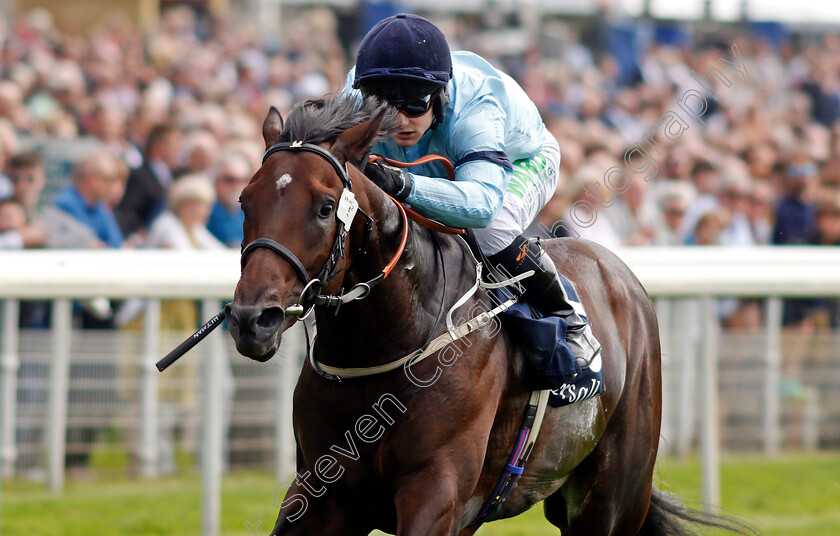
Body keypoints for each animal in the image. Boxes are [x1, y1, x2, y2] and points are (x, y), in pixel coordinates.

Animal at [225, 97, 748, 536]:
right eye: (245, 201)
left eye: (325, 206)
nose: (254, 318)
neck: (382, 347)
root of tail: (619, 272)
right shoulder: (322, 492)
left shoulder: (436, 490)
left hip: (612, 500)